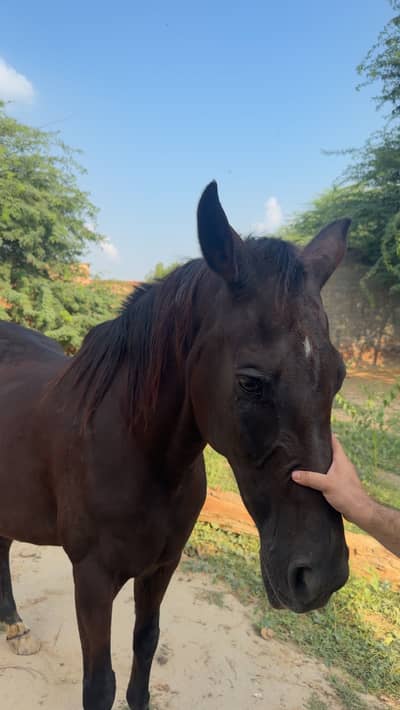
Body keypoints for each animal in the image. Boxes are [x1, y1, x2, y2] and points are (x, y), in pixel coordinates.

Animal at [0, 181, 350, 710]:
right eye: (250, 382)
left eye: (339, 376)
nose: (322, 574)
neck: (138, 455)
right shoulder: (92, 580)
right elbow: (99, 684)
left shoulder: (162, 567)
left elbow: (145, 645)